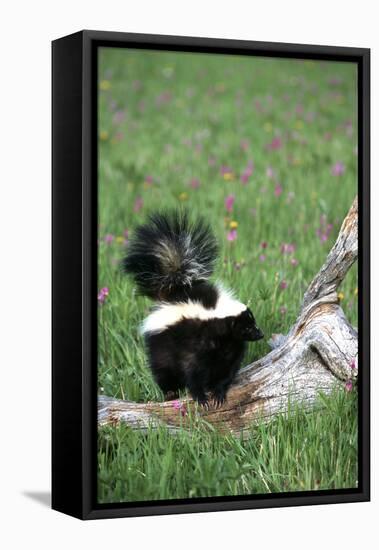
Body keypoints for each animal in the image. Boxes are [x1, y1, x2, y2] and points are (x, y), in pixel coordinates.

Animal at [123, 211, 262, 410]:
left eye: (253, 323)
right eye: (248, 327)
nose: (261, 334)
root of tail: (175, 290)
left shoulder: (231, 349)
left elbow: (226, 371)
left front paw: (218, 393)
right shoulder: (193, 345)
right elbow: (192, 371)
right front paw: (201, 398)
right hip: (161, 344)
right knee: (162, 369)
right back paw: (170, 393)